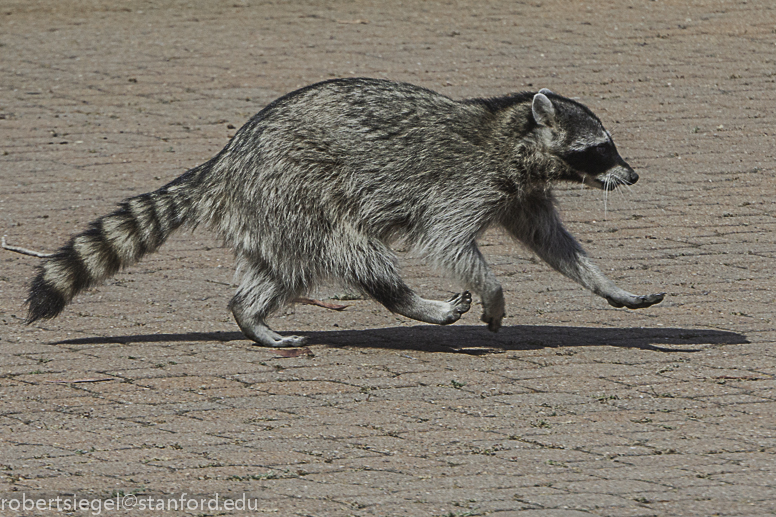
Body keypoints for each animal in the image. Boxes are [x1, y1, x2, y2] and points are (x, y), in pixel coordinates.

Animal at [26, 78, 664, 347]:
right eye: (601, 149)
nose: (632, 175)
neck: (512, 137)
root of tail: (228, 158)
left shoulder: (520, 194)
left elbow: (554, 243)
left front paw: (608, 285)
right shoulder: (467, 183)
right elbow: (447, 241)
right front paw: (494, 291)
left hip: (275, 211)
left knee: (281, 269)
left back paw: (249, 315)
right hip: (297, 188)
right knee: (353, 250)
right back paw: (413, 302)